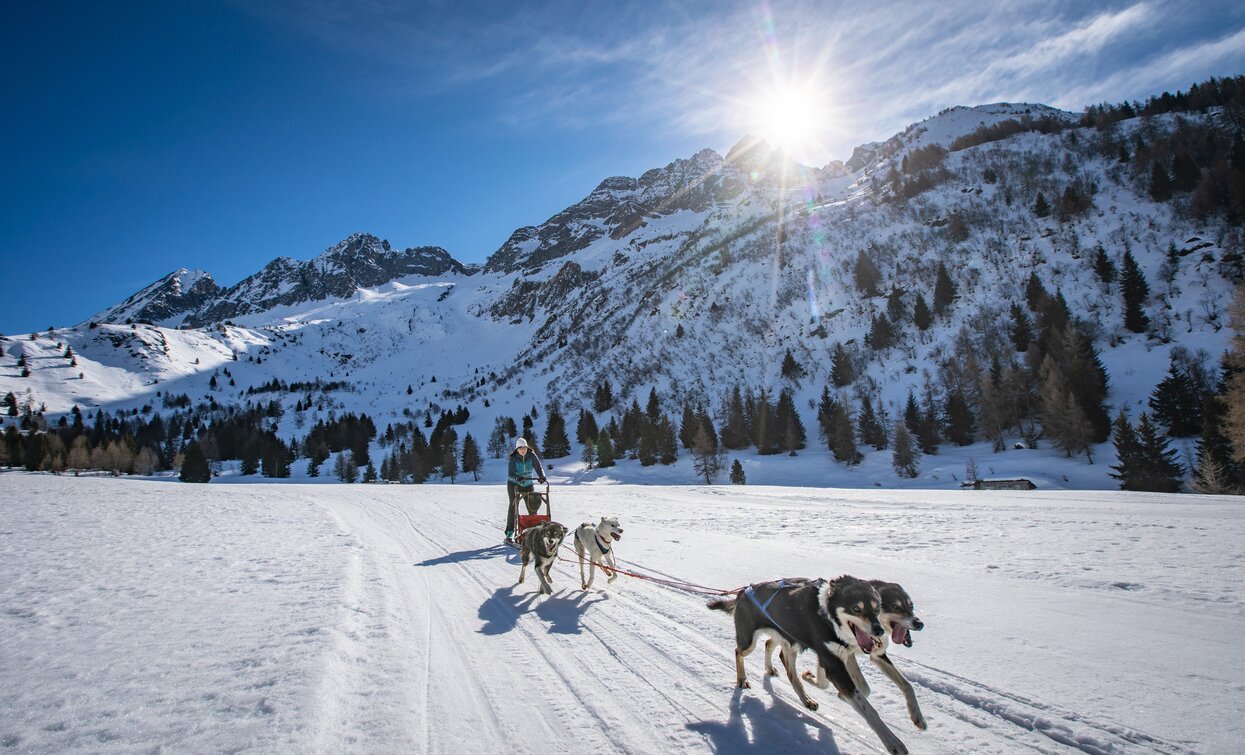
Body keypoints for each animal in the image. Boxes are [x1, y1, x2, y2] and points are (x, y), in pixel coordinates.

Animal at [707, 578, 911, 752]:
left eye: (877, 609)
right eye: (856, 608)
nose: (878, 630)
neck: (827, 616)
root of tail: (744, 591)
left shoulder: (840, 655)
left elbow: (859, 689)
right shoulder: (833, 663)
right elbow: (869, 710)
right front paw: (893, 742)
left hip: (788, 640)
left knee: (782, 662)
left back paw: (802, 696)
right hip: (749, 642)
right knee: (739, 652)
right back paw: (742, 679)